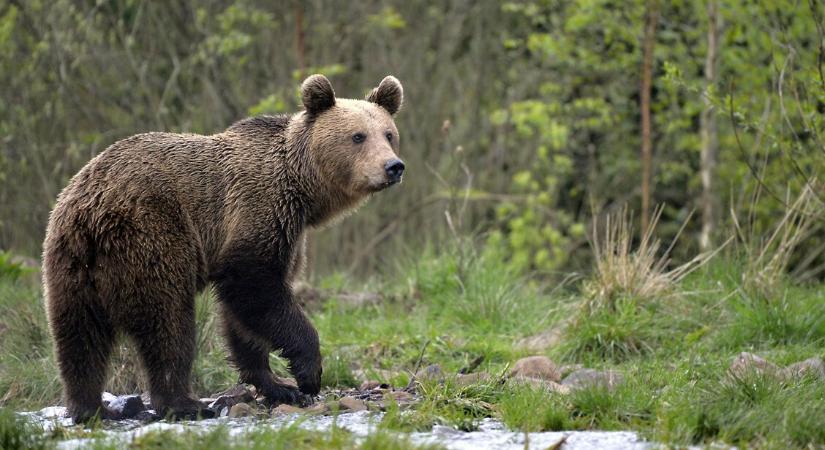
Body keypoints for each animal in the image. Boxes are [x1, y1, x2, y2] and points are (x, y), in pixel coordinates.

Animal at [42, 74, 406, 422]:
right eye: (358, 136)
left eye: (388, 134)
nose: (393, 166)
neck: (302, 189)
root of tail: (91, 211)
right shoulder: (258, 212)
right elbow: (256, 289)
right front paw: (307, 374)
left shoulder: (288, 232)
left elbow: (243, 317)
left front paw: (277, 385)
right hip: (152, 236)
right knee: (168, 322)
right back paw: (183, 403)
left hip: (71, 264)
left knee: (79, 338)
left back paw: (89, 407)